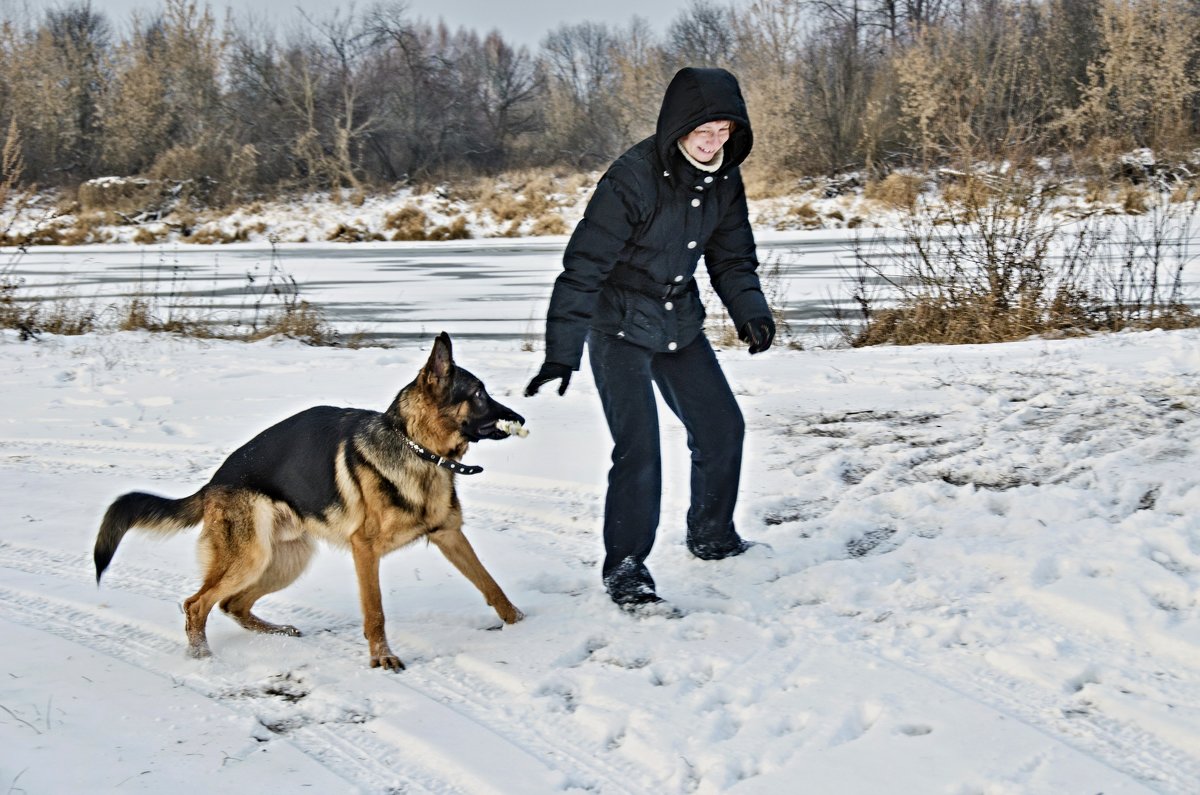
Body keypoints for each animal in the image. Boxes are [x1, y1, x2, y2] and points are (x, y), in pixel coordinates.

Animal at [91, 331, 523, 672]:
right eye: (479, 393)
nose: (519, 417)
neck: (418, 450)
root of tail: (214, 482)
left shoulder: (450, 535)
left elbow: (491, 584)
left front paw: (519, 622)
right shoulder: (364, 550)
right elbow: (375, 611)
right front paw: (381, 657)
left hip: (287, 560)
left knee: (232, 604)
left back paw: (275, 630)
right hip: (251, 558)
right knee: (196, 604)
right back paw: (203, 658)